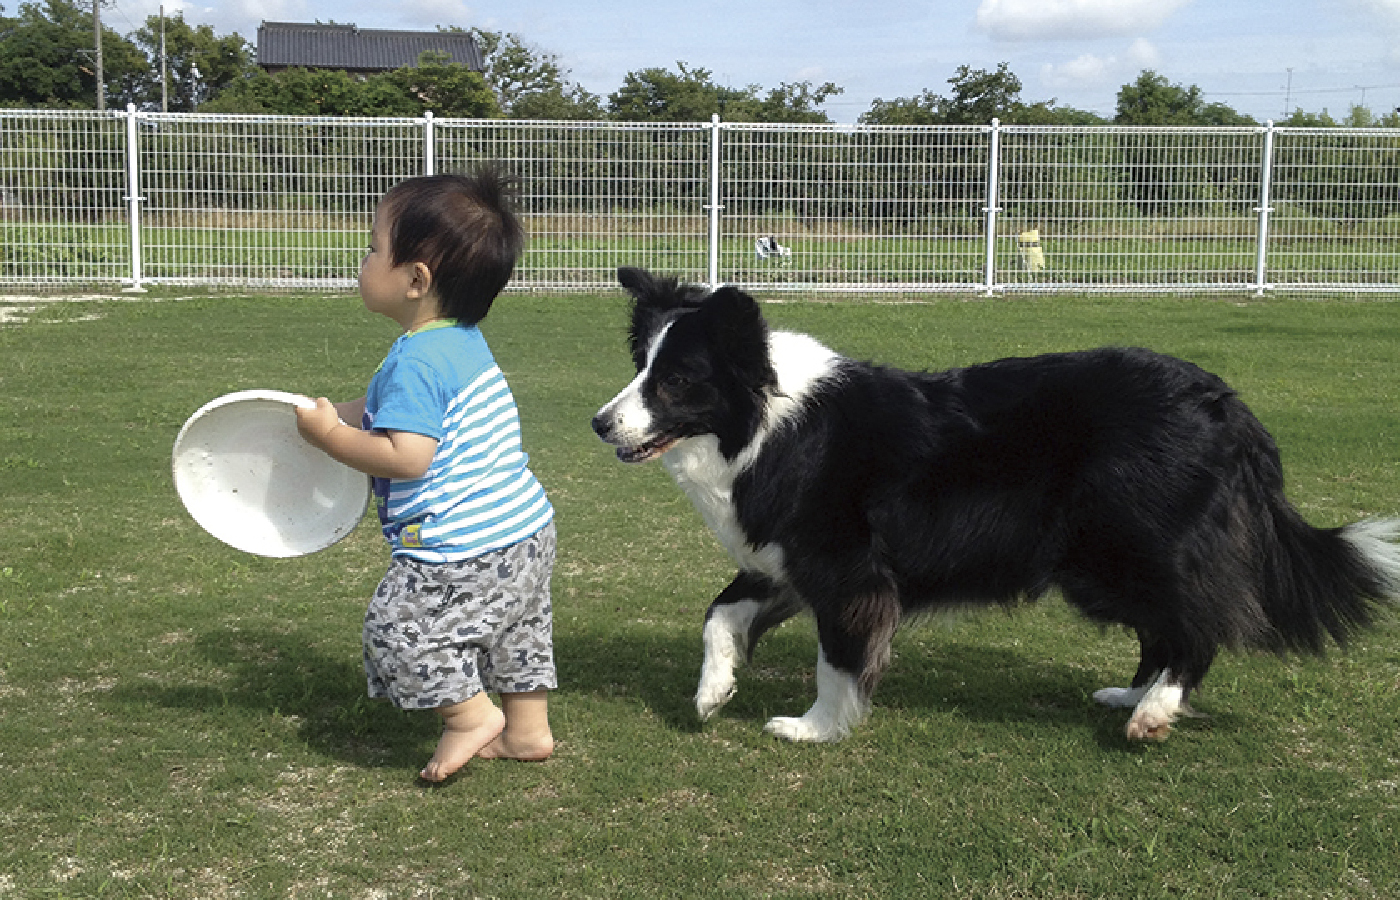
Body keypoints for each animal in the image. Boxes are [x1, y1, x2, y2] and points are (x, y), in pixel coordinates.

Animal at [593, 268, 1400, 744]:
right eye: (640, 368)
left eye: (677, 382)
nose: (599, 423)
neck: (770, 421)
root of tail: (1226, 403)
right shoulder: (787, 558)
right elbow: (719, 614)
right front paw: (713, 693)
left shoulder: (846, 568)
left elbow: (838, 657)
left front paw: (816, 727)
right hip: (1101, 561)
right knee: (1163, 627)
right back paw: (1129, 695)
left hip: (1131, 547)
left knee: (1200, 625)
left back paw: (1154, 713)